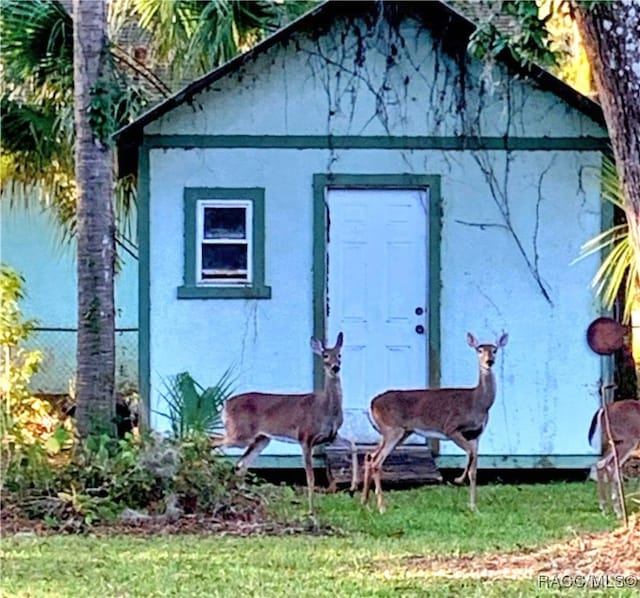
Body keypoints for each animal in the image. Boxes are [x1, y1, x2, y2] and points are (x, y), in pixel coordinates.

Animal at [212, 332, 358, 516]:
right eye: (325, 355)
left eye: (339, 355)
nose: (335, 367)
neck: (326, 408)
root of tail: (225, 405)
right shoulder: (305, 436)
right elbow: (310, 476)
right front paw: (311, 510)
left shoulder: (331, 436)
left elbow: (353, 445)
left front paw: (353, 486)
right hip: (240, 433)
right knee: (211, 441)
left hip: (261, 439)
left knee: (241, 464)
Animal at [362, 330, 508, 512]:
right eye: (479, 350)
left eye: (494, 350)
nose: (489, 362)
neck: (478, 402)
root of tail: (372, 402)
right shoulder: (451, 428)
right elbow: (469, 454)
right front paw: (459, 480)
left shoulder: (476, 435)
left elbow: (474, 468)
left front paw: (473, 506)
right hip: (392, 429)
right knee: (377, 461)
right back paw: (382, 507)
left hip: (400, 432)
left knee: (370, 455)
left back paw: (365, 503)